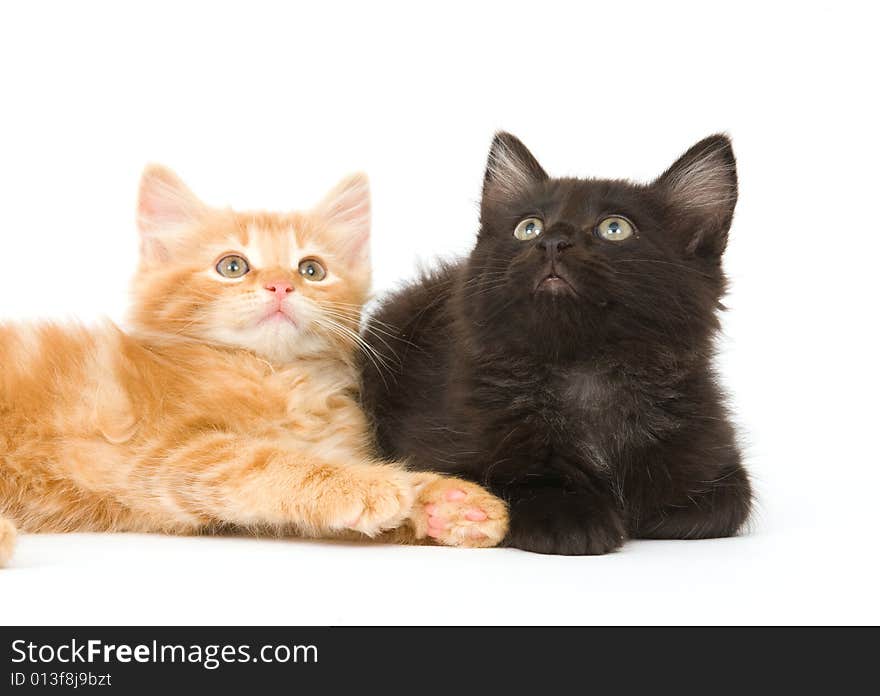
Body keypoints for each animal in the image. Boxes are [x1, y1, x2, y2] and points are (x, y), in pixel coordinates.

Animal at [0, 167, 508, 564]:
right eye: (232, 266)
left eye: (311, 270)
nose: (281, 286)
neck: (280, 377)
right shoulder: (168, 453)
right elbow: (271, 462)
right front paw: (371, 487)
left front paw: (447, 503)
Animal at [360, 130, 752, 556]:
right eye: (528, 227)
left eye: (614, 228)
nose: (552, 241)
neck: (584, 370)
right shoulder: (435, 449)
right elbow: (511, 482)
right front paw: (572, 517)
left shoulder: (715, 455)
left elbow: (720, 504)